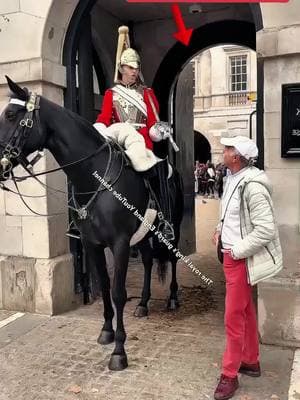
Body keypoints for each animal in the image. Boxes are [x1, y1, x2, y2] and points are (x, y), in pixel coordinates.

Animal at [0, 76, 184, 370]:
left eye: (10, 114)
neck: (94, 177)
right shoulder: (91, 243)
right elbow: (106, 286)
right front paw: (107, 332)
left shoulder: (119, 243)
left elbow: (118, 292)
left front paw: (119, 351)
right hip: (143, 235)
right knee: (146, 261)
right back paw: (143, 303)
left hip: (173, 228)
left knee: (173, 258)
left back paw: (174, 298)